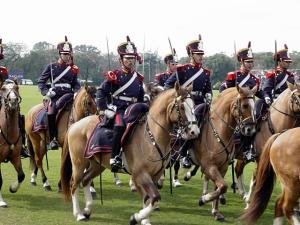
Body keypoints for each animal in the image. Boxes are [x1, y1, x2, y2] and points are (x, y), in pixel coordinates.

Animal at [60, 82, 199, 223]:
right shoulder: (140, 175)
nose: (194, 131)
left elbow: (148, 199)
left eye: (193, 105)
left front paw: (145, 220)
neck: (151, 137)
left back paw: (87, 210)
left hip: (97, 165)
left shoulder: (155, 175)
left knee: (85, 180)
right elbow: (155, 198)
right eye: (181, 107)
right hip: (79, 163)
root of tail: (75, 125)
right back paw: (79, 214)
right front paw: (136, 217)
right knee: (74, 184)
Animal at [191, 86, 256, 221]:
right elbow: (223, 186)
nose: (251, 130)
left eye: (254, 105)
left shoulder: (223, 167)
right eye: (245, 105)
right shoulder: (209, 166)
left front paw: (216, 211)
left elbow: (220, 187)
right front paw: (204, 199)